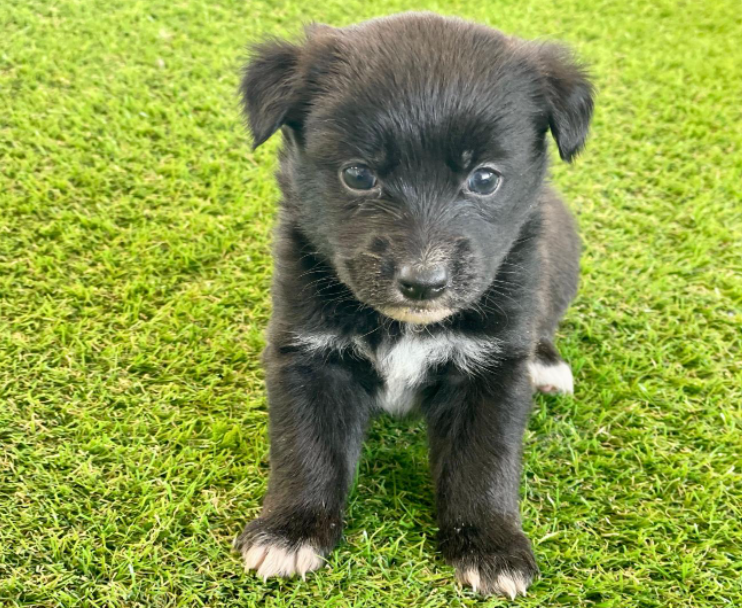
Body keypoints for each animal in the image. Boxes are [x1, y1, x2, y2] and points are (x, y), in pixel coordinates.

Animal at [233, 12, 593, 598]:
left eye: (485, 178)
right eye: (358, 174)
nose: (423, 283)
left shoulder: (492, 368)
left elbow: (484, 463)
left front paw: (492, 550)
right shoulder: (309, 354)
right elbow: (305, 447)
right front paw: (290, 531)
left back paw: (547, 364)